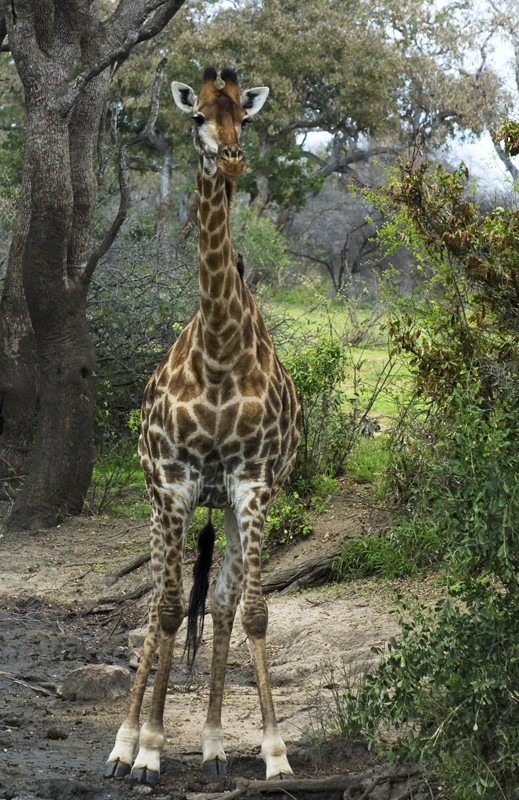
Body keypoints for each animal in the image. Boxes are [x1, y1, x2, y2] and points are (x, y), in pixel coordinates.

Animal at [105, 67, 300, 788]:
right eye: (196, 119)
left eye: (244, 117)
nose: (233, 156)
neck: (218, 348)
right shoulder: (175, 483)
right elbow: (163, 611)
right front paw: (148, 752)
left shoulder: (252, 485)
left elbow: (252, 610)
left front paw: (274, 754)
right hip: (155, 497)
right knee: (155, 606)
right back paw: (123, 743)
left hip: (225, 504)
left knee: (216, 603)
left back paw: (215, 748)